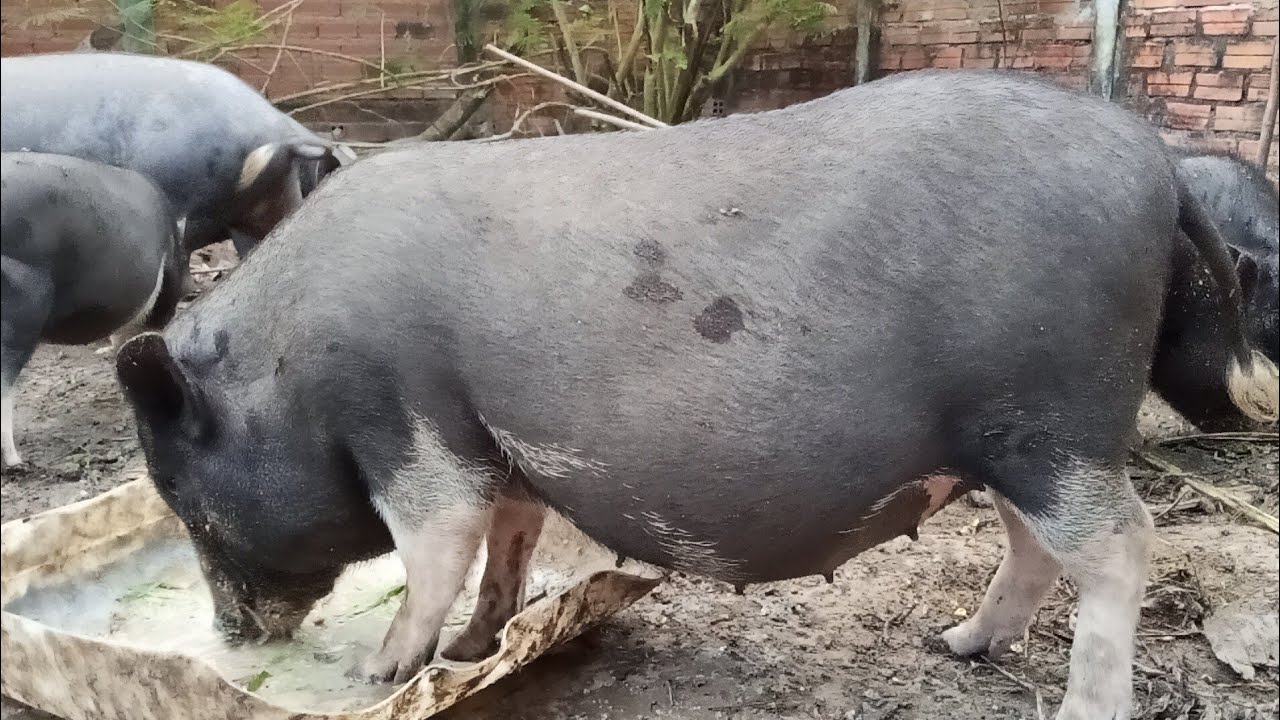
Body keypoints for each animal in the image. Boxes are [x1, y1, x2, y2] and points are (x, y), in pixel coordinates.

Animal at [115, 70, 1279, 720]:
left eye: (190, 502)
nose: (229, 639)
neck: (288, 366)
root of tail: (1148, 158)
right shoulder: (492, 443)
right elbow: (509, 539)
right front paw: (478, 648)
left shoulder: (404, 422)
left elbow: (435, 542)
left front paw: (382, 671)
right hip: (1013, 435)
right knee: (1038, 545)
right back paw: (954, 645)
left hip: (1057, 420)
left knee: (1123, 542)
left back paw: (1078, 707)